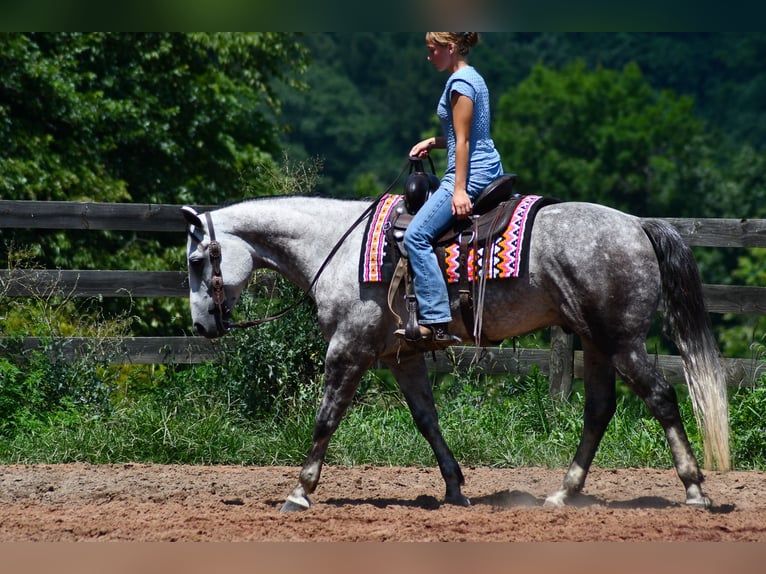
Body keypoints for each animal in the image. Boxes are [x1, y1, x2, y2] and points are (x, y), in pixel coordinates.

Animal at [180, 194, 730, 512]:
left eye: (196, 259)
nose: (203, 324)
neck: (338, 246)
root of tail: (637, 224)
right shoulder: (400, 356)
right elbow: (427, 419)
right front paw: (454, 488)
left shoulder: (349, 348)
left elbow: (326, 418)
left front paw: (299, 491)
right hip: (595, 342)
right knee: (599, 409)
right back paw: (561, 494)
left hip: (621, 340)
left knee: (660, 397)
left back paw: (695, 491)